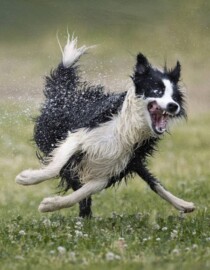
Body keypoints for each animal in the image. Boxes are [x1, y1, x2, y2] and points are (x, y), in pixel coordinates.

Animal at [16, 34, 195, 216]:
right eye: (157, 91)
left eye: (175, 96)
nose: (173, 106)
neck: (128, 128)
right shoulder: (80, 135)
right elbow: (56, 166)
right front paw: (27, 178)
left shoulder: (113, 168)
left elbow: (84, 191)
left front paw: (50, 204)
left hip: (131, 162)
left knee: (152, 182)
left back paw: (184, 204)